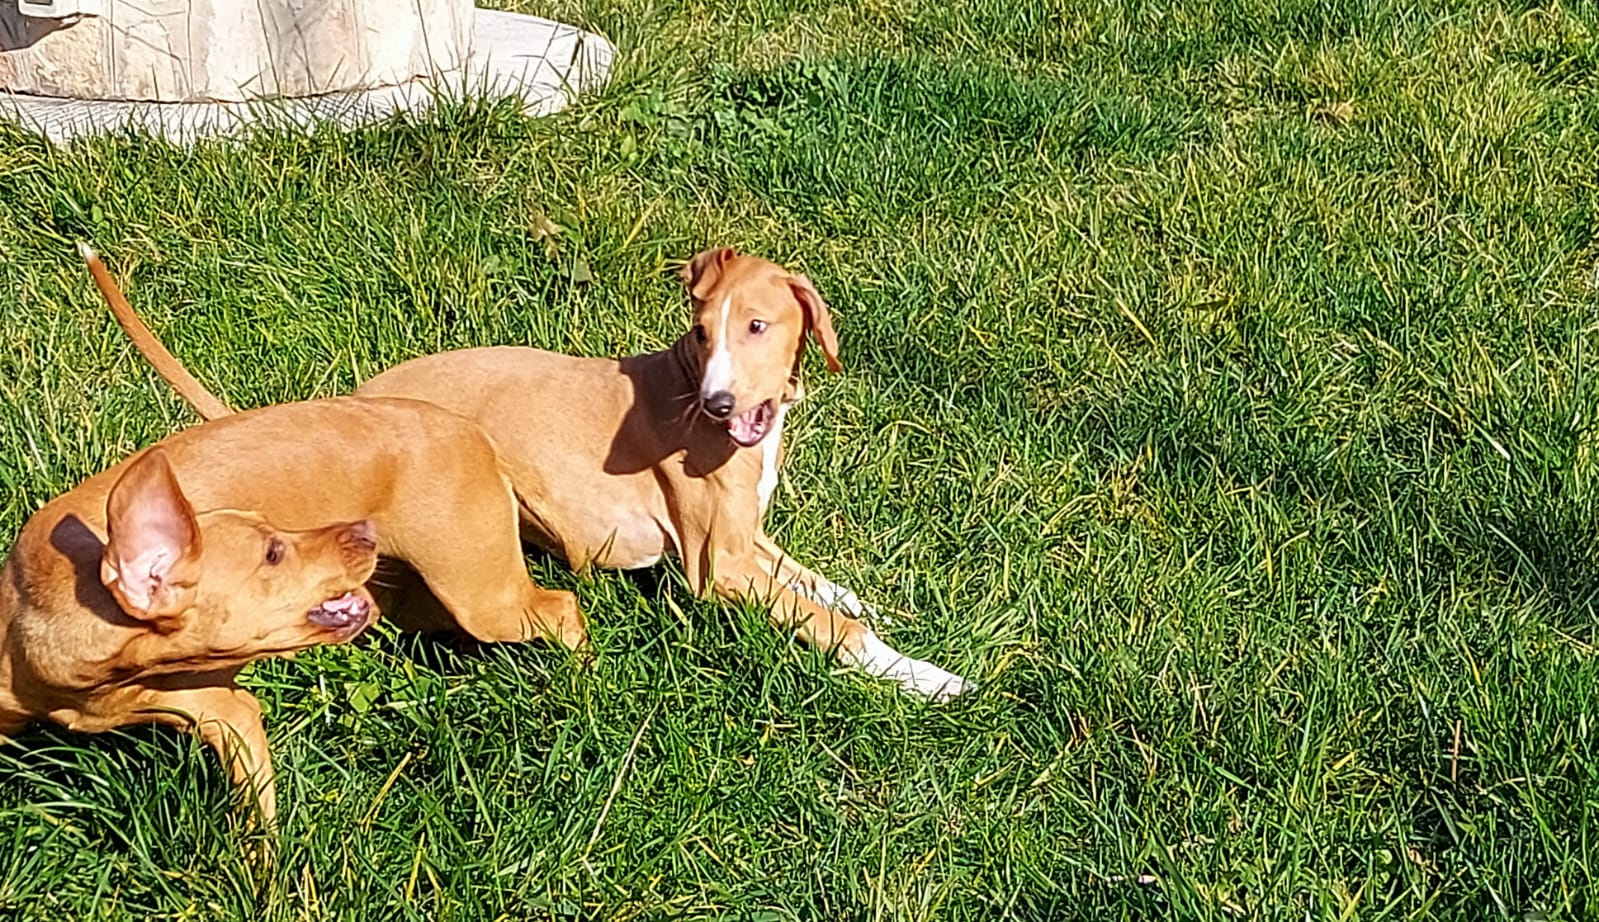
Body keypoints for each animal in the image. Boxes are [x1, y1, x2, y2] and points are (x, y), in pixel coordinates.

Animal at [99, 246, 968, 700]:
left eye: (757, 326)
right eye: (700, 331)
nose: (718, 404)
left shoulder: (744, 536)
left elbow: (814, 579)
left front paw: (857, 594)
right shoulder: (714, 569)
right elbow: (831, 625)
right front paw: (920, 674)